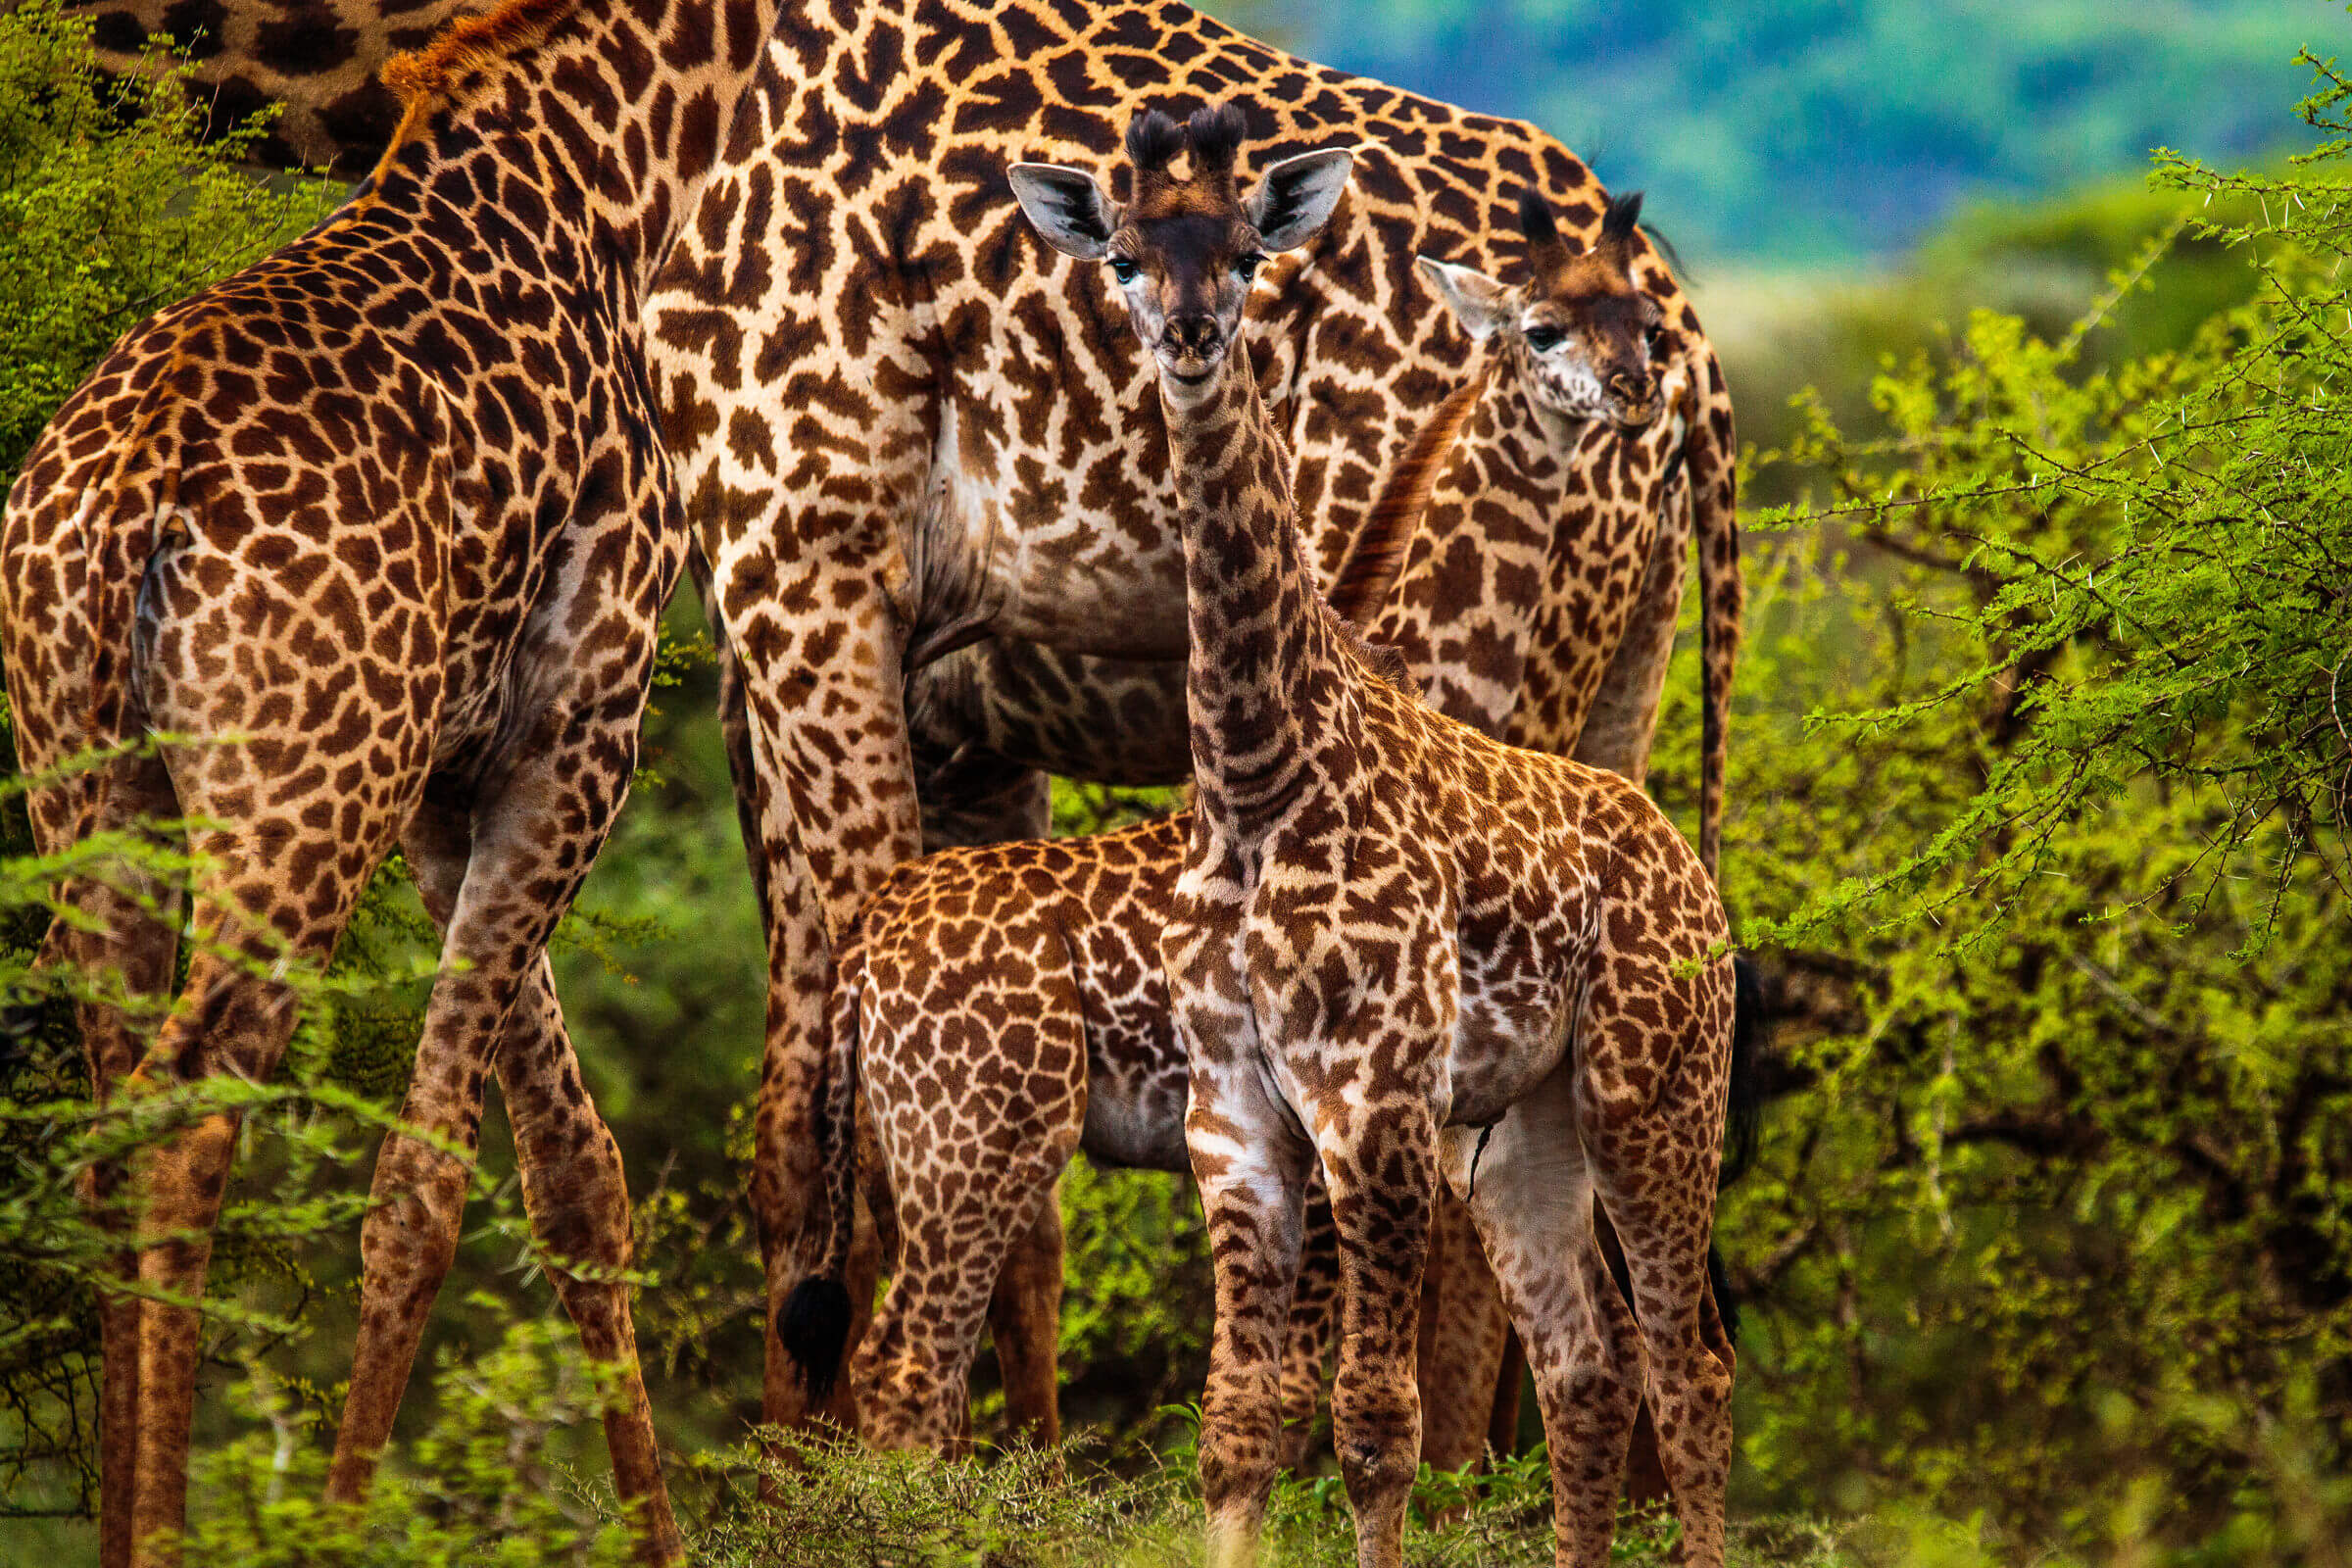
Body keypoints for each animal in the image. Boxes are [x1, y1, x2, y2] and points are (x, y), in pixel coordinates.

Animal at [0, 0, 792, 1558]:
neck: (618, 180)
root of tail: (125, 501)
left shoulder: (443, 776)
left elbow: (571, 1168)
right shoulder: (578, 722)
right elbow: (426, 1183)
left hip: (92, 789)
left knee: (108, 1129)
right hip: (298, 805)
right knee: (182, 1121)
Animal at [1006, 103, 1739, 1568]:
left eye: (1245, 248)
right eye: (1121, 255)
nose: (1191, 332)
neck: (1258, 777)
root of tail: (1686, 868)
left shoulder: (1378, 1105)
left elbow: (1371, 1420)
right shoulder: (1236, 1120)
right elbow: (1237, 1427)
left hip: (1652, 1099)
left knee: (1683, 1372)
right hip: (1529, 1132)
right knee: (1592, 1368)